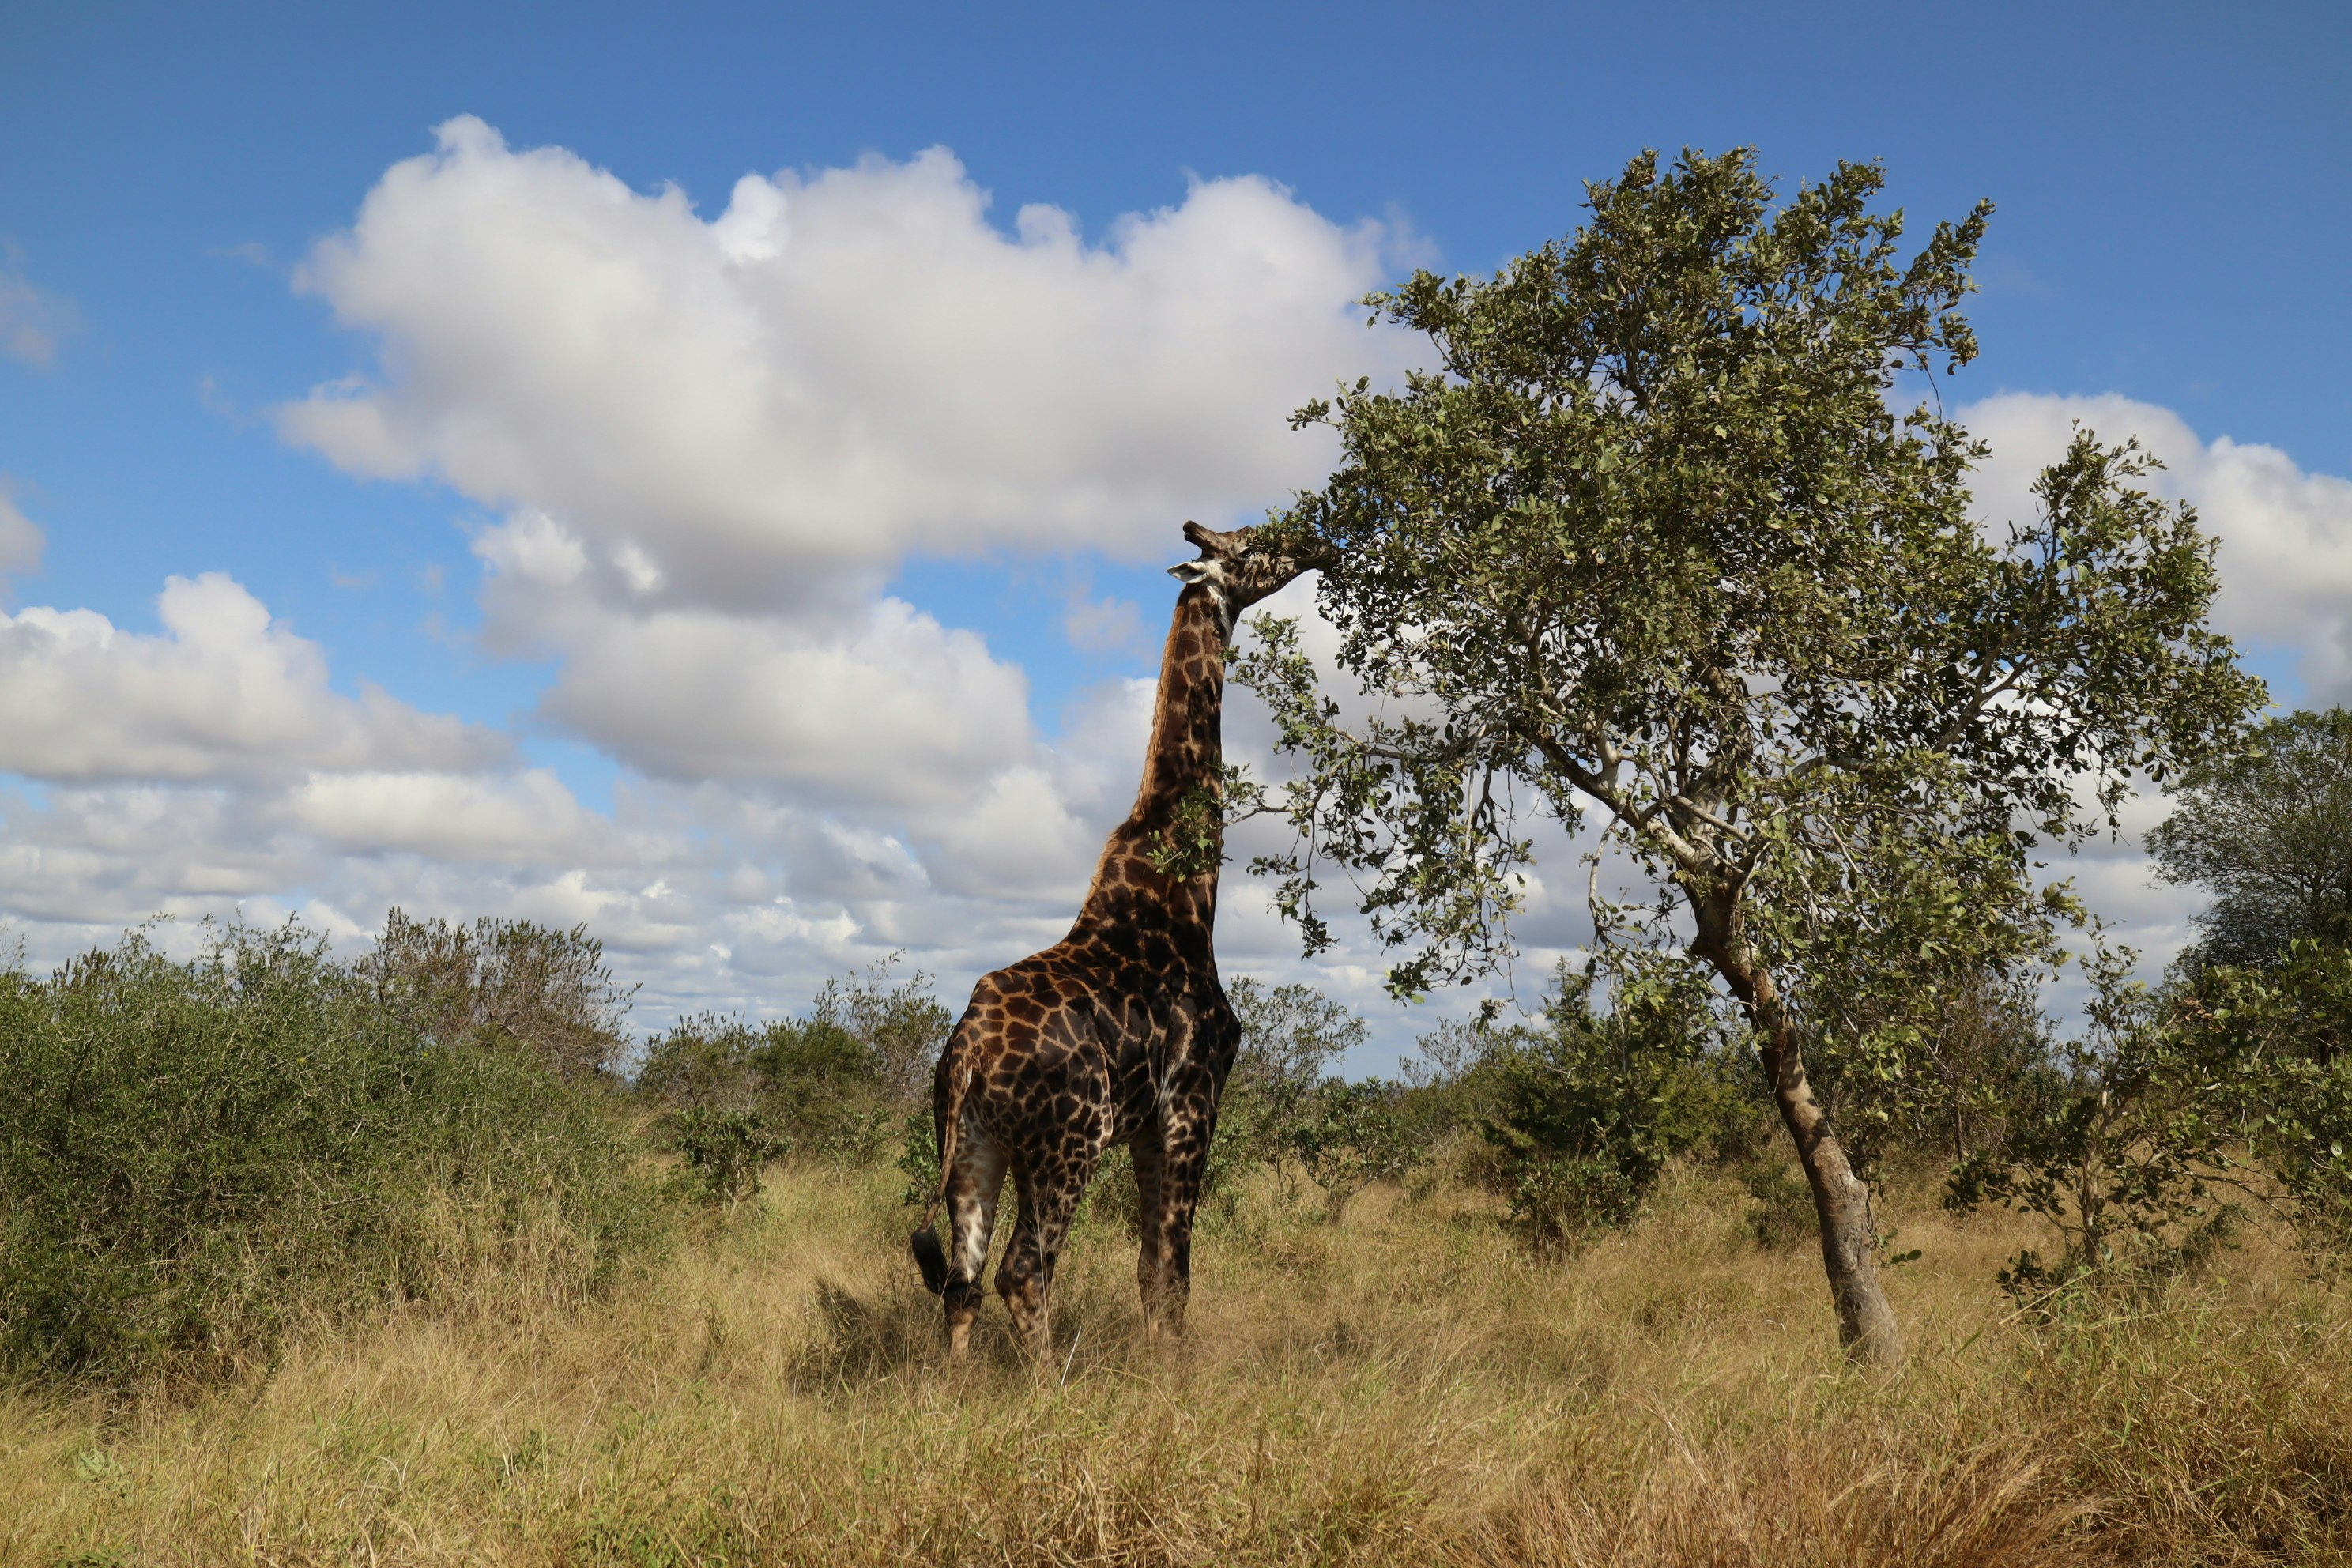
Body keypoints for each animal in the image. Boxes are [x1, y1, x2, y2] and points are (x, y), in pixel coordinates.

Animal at [909, 519, 1329, 1360]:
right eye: (1254, 543)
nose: (1317, 542)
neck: (1186, 894)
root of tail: (967, 1053)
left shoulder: (1145, 1127)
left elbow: (1147, 1267)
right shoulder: (1193, 1099)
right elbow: (1176, 1269)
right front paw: (1173, 1373)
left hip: (972, 1144)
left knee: (964, 1282)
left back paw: (950, 1387)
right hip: (1065, 1145)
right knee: (1023, 1272)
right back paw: (1051, 1386)